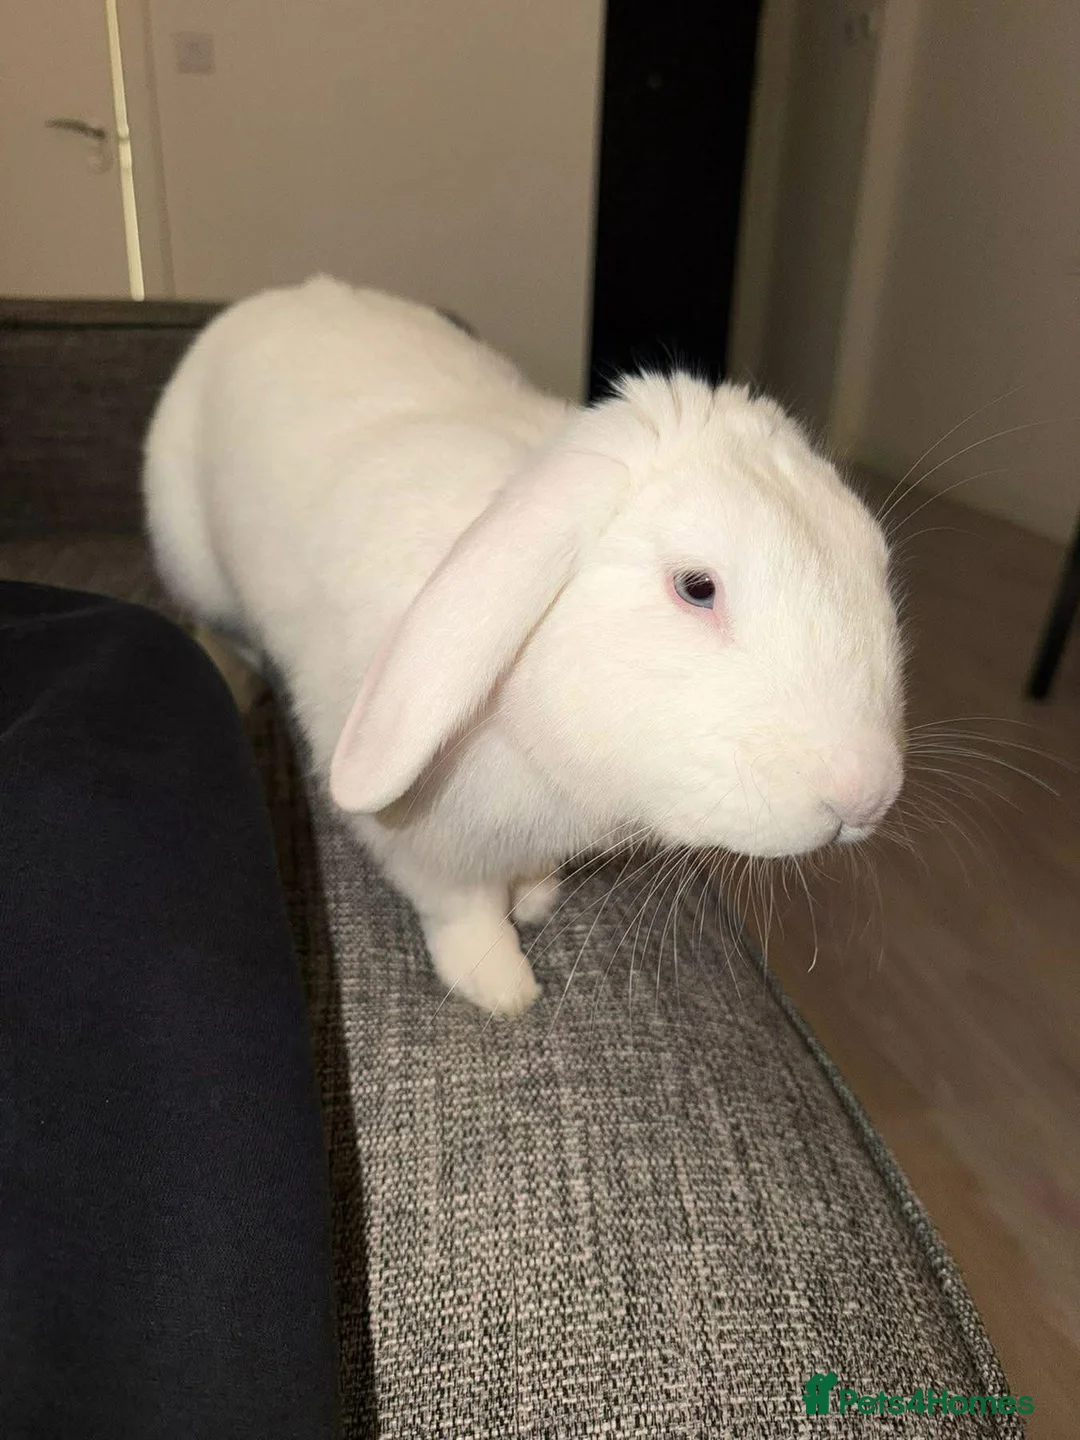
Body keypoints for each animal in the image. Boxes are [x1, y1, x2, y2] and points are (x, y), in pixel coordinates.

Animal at [143, 275, 905, 1016]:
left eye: (875, 556)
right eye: (697, 587)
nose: (866, 798)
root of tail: (271, 298)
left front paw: (536, 897)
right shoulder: (428, 851)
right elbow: (463, 911)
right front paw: (500, 986)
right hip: (197, 565)